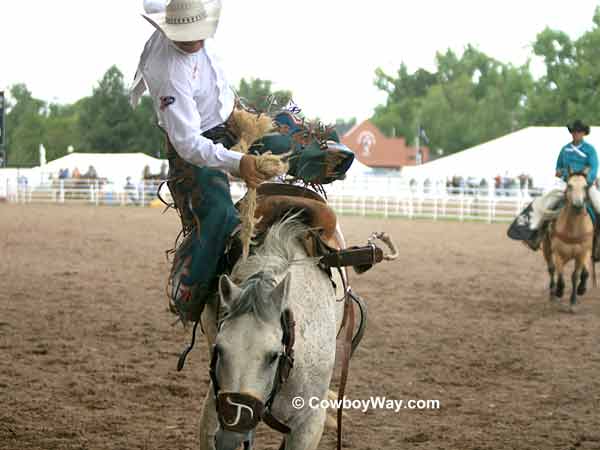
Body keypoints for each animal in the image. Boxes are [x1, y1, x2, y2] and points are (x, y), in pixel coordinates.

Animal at [544, 169, 596, 310]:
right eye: (569, 185)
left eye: (585, 186)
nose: (578, 205)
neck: (573, 229)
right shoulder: (559, 253)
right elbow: (561, 274)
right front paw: (559, 291)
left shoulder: (582, 253)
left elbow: (575, 276)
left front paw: (573, 301)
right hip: (547, 248)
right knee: (551, 269)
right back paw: (552, 293)